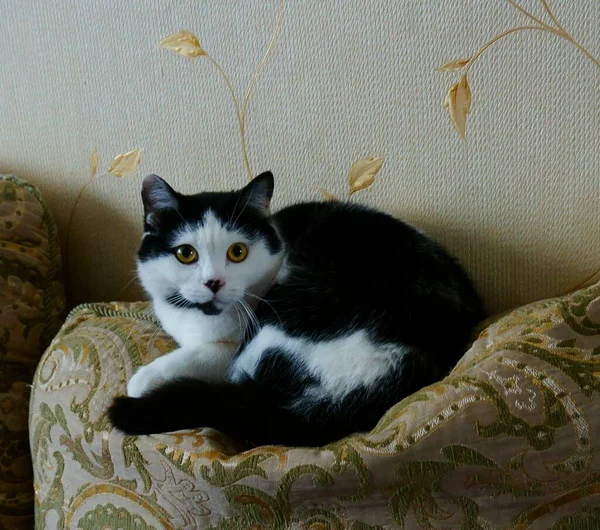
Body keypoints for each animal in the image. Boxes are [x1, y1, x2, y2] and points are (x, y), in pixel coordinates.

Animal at [106, 171, 482, 444]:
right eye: (186, 254)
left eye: (237, 252)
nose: (214, 282)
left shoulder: (230, 349)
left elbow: (196, 356)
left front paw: (143, 379)